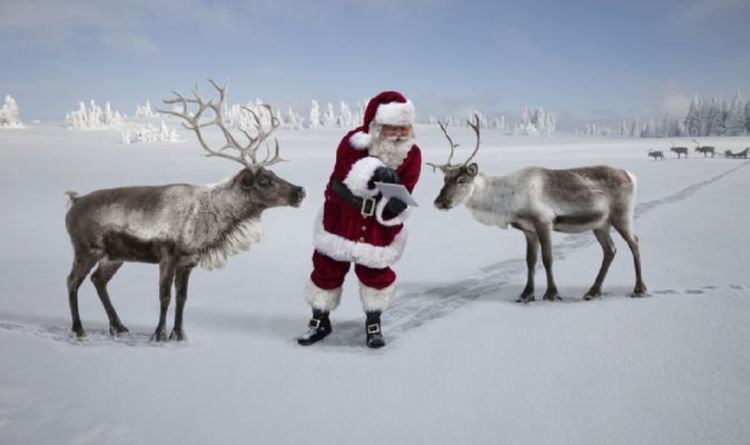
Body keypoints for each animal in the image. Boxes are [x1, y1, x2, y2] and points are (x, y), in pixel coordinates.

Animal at [64, 80, 306, 341]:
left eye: (273, 173)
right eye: (263, 180)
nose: (300, 191)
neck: (207, 223)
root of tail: (73, 202)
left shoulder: (188, 262)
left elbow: (182, 298)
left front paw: (179, 334)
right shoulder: (167, 256)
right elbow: (165, 296)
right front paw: (159, 334)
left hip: (114, 256)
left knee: (98, 280)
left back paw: (118, 326)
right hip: (86, 250)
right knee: (72, 281)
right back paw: (78, 329)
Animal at [429, 115, 647, 302]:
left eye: (461, 179)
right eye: (445, 178)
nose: (439, 202)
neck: (507, 201)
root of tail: (631, 175)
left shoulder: (544, 221)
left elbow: (547, 258)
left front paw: (551, 293)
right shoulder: (528, 230)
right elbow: (530, 260)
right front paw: (526, 294)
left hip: (622, 216)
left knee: (634, 243)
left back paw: (639, 289)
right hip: (600, 224)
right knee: (610, 250)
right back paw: (592, 291)